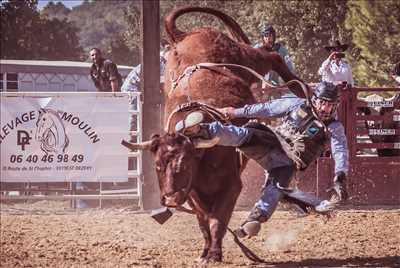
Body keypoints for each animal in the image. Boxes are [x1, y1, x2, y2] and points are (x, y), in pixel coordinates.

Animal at [123, 6, 308, 264]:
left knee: (272, 56)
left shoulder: (232, 186)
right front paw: (205, 250)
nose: (169, 200)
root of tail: (186, 35)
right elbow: (203, 220)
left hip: (247, 57)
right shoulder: (192, 192)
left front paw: (214, 252)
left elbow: (217, 219)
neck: (203, 156)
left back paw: (300, 87)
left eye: (183, 164)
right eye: (157, 166)